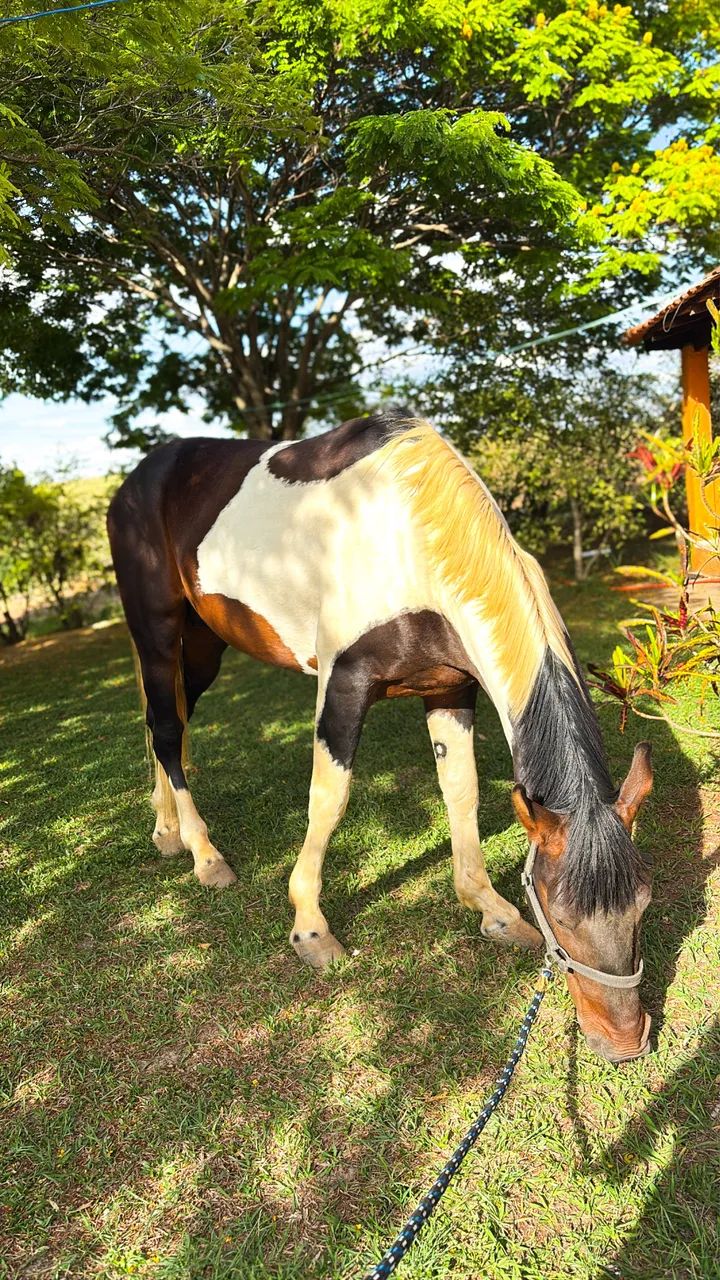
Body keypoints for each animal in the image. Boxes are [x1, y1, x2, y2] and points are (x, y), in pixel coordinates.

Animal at [108, 410, 654, 1063]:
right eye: (561, 914)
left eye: (643, 905)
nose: (625, 1042)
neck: (411, 536)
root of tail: (135, 481)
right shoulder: (343, 685)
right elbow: (329, 800)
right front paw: (311, 930)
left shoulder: (449, 689)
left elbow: (461, 790)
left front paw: (490, 911)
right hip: (158, 630)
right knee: (167, 731)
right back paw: (204, 854)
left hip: (205, 641)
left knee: (170, 725)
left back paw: (166, 831)